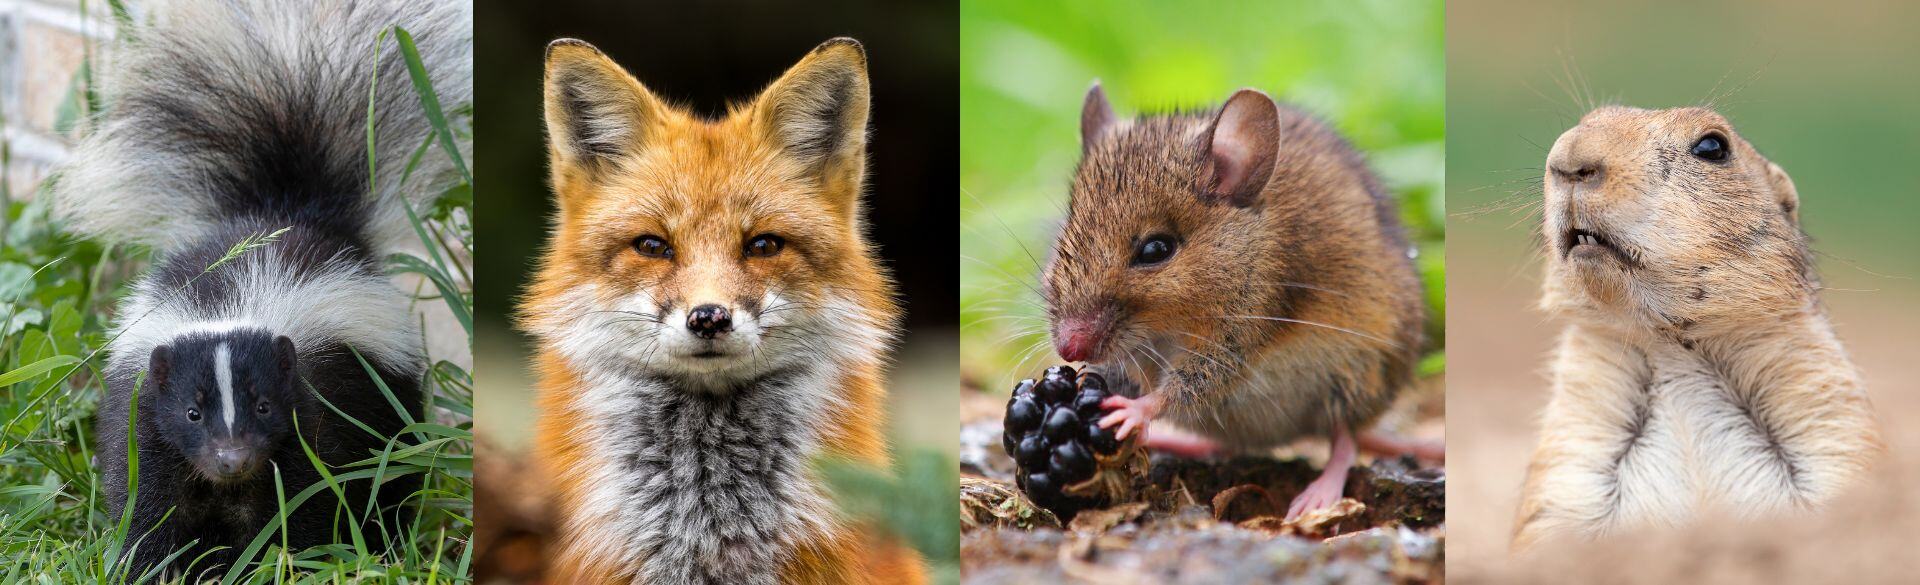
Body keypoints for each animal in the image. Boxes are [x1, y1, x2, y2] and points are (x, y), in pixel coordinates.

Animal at [51, 0, 472, 571]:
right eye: (192, 411)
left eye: (265, 405)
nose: (233, 458)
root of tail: (288, 212)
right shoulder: (147, 422)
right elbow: (151, 503)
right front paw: (156, 567)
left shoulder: (310, 416)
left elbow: (300, 501)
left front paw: (276, 562)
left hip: (389, 395)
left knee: (394, 469)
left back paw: (387, 540)